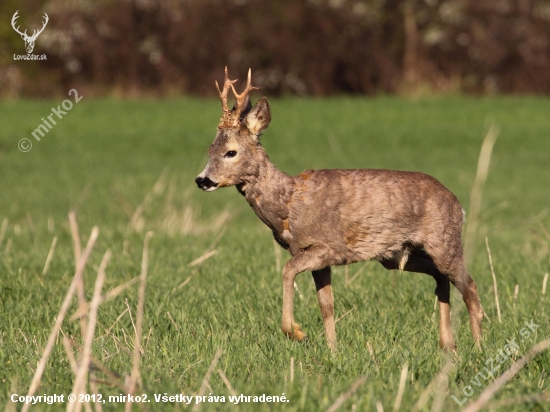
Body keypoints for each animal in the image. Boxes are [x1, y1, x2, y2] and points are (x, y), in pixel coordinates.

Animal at [197, 67, 484, 350]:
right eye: (210, 149)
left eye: (231, 152)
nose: (202, 180)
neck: (289, 205)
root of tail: (457, 204)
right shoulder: (315, 256)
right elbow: (327, 305)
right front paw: (332, 351)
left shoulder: (328, 246)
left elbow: (288, 270)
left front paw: (296, 332)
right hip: (399, 255)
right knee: (442, 280)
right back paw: (448, 344)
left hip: (444, 240)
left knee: (469, 286)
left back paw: (478, 346)